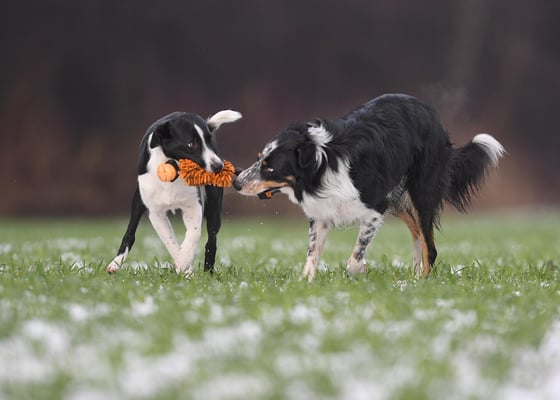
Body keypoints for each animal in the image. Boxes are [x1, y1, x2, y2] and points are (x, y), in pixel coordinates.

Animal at [107, 109, 242, 275]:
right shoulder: (155, 212)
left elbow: (194, 233)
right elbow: (169, 241)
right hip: (138, 200)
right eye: (191, 144)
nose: (219, 166)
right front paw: (184, 265)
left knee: (211, 241)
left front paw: (184, 261)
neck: (174, 168)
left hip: (214, 207)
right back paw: (115, 264)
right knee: (130, 233)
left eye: (210, 141)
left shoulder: (193, 205)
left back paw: (207, 272)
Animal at [233, 94, 505, 281]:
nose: (236, 183)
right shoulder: (322, 214)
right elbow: (312, 254)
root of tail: (431, 113)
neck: (323, 162)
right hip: (397, 198)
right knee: (417, 231)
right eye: (259, 159)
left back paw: (420, 282)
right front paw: (304, 283)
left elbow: (354, 258)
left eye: (269, 168)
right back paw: (415, 273)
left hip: (420, 192)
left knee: (431, 246)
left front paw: (360, 272)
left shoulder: (375, 206)